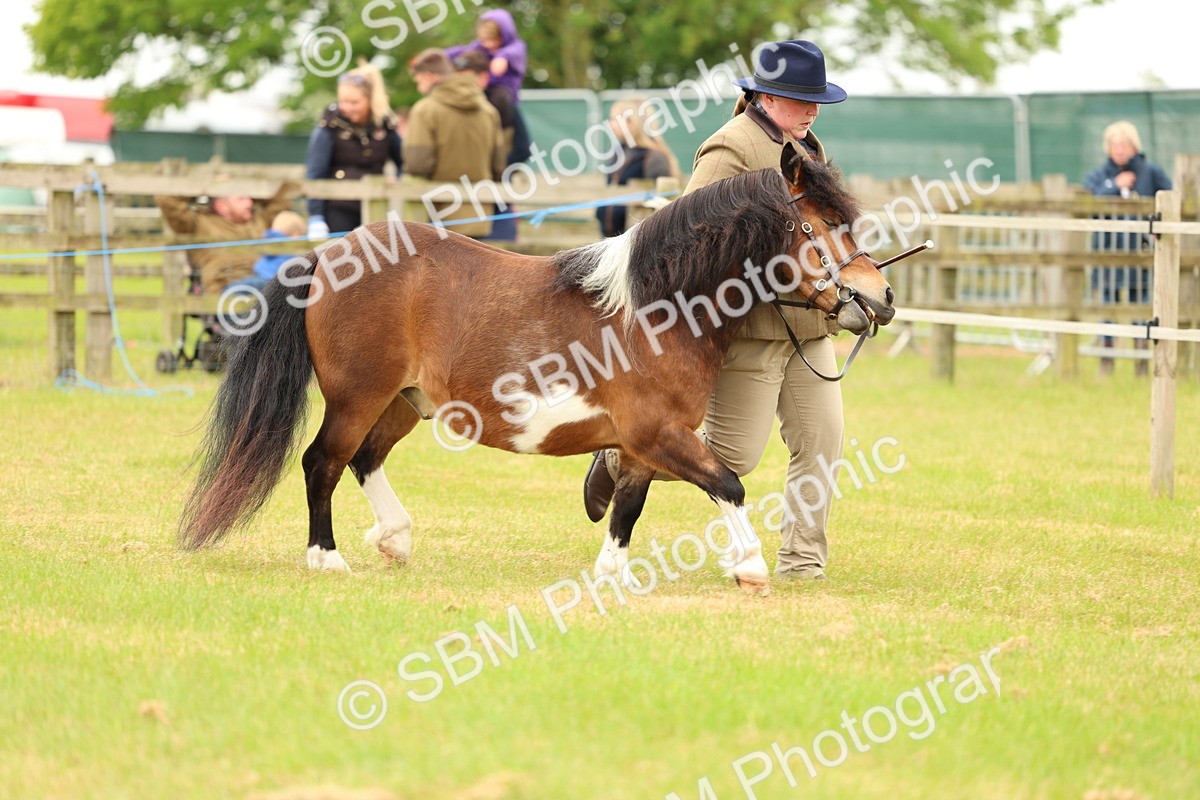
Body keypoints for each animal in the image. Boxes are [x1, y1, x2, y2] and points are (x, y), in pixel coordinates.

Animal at [178, 142, 896, 592]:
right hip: (359, 396)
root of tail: (329, 255)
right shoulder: (659, 433)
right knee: (322, 463)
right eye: (823, 225)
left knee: (364, 460)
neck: (657, 305)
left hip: (404, 403)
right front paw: (748, 566)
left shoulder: (641, 445)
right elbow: (730, 484)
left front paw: (612, 574)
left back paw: (396, 538)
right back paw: (327, 559)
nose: (881, 297)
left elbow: (628, 507)